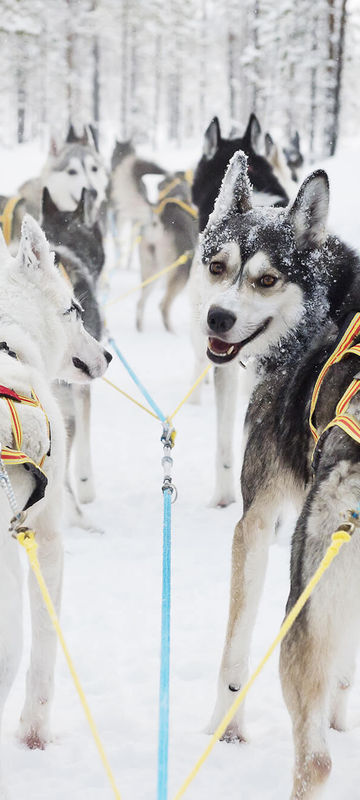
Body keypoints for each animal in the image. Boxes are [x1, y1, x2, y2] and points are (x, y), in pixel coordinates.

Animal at [136, 172, 198, 332]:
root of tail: (158, 222)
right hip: (181, 271)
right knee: (163, 306)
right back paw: (172, 332)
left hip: (152, 271)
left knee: (140, 302)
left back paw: (140, 330)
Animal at [198, 148, 360, 792]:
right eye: (217, 266)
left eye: (267, 279)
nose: (217, 318)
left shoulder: (258, 521)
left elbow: (233, 654)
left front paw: (224, 732)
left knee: (314, 761)